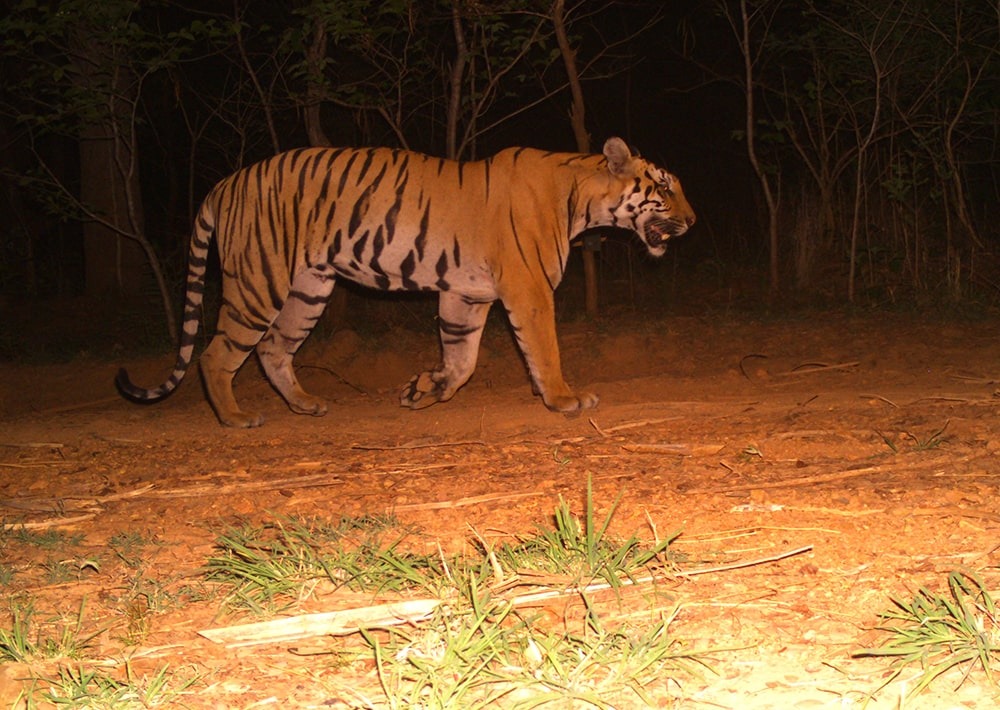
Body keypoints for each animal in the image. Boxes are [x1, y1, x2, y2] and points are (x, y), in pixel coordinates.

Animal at [115, 138, 696, 428]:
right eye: (665, 187)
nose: (693, 221)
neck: (581, 196)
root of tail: (223, 183)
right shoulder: (528, 289)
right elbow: (544, 350)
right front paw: (564, 400)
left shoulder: (465, 293)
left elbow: (461, 361)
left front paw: (424, 390)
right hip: (260, 280)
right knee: (217, 355)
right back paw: (236, 417)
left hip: (309, 288)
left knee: (273, 349)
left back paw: (305, 405)